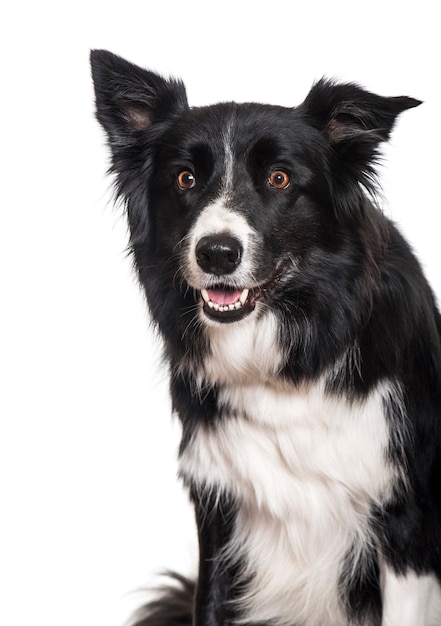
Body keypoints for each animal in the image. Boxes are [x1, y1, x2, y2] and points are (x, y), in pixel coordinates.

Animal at [91, 51, 440, 620]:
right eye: (185, 178)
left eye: (279, 178)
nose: (216, 253)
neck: (288, 365)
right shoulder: (219, 511)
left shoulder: (407, 522)